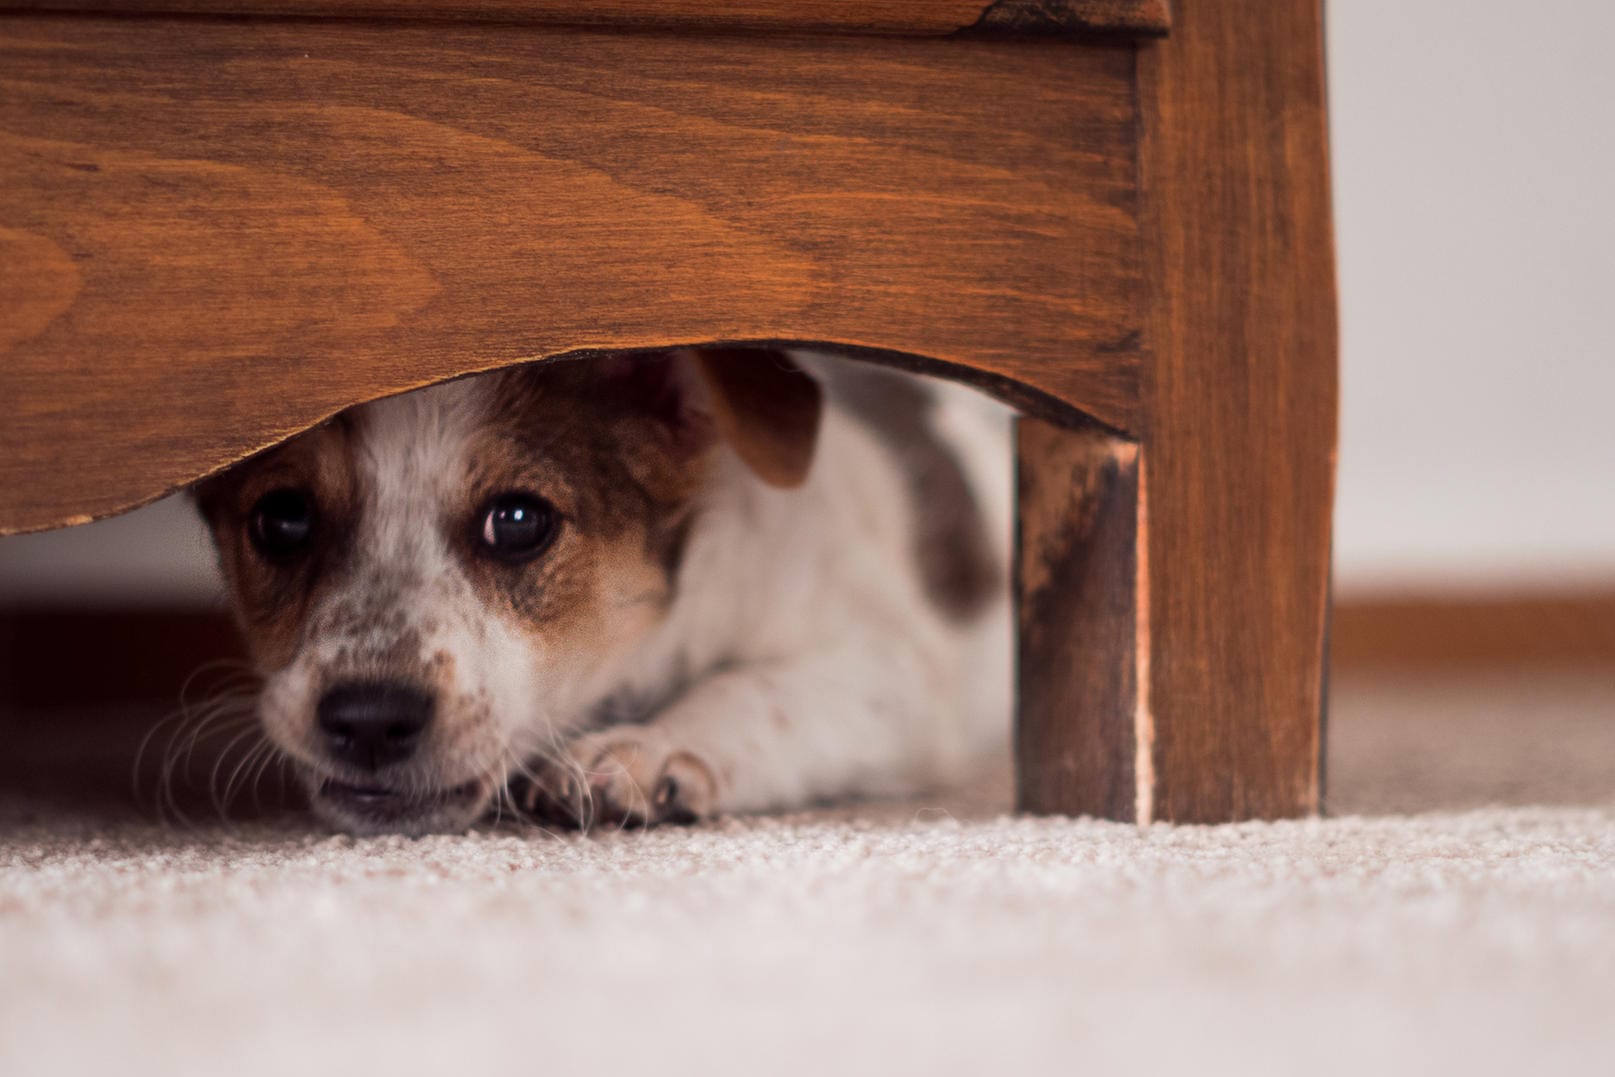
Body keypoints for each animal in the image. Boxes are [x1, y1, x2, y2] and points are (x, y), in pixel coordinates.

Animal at [192, 350, 1007, 839]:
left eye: (519, 521)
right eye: (282, 519)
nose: (368, 720)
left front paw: (649, 747)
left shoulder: (891, 670)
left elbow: (754, 688)